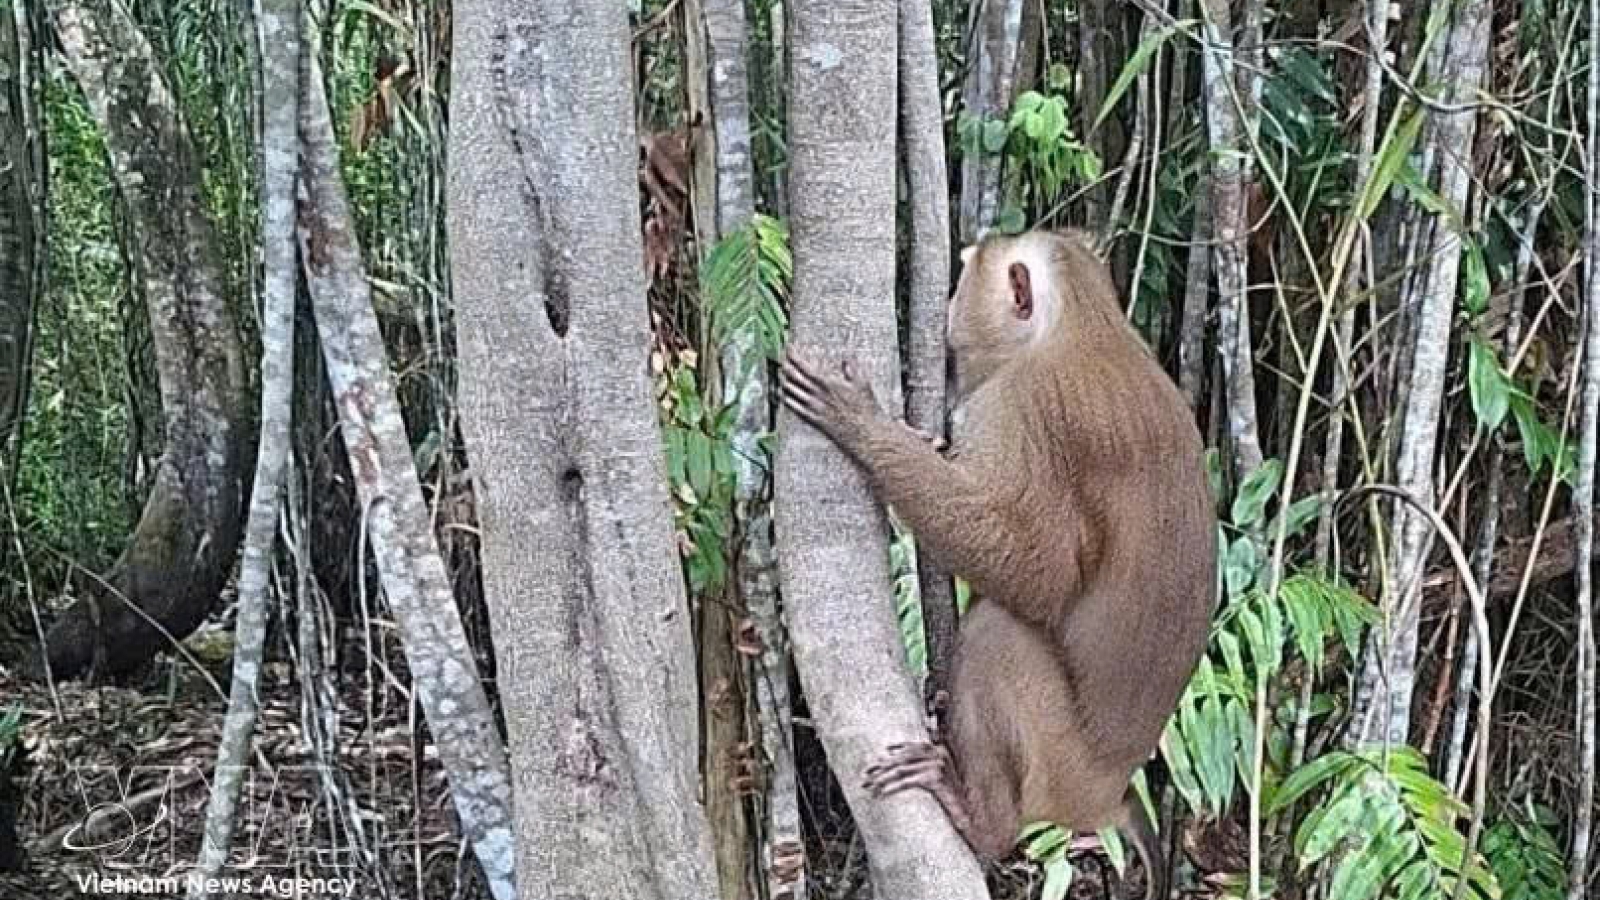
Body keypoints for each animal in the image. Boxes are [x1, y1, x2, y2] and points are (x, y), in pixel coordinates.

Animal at [780, 228, 1215, 900]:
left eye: (966, 277)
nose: (949, 308)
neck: (1084, 325)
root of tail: (1110, 796)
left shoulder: (1021, 409)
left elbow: (1037, 572)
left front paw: (865, 426)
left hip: (1061, 769)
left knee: (996, 633)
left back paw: (982, 821)